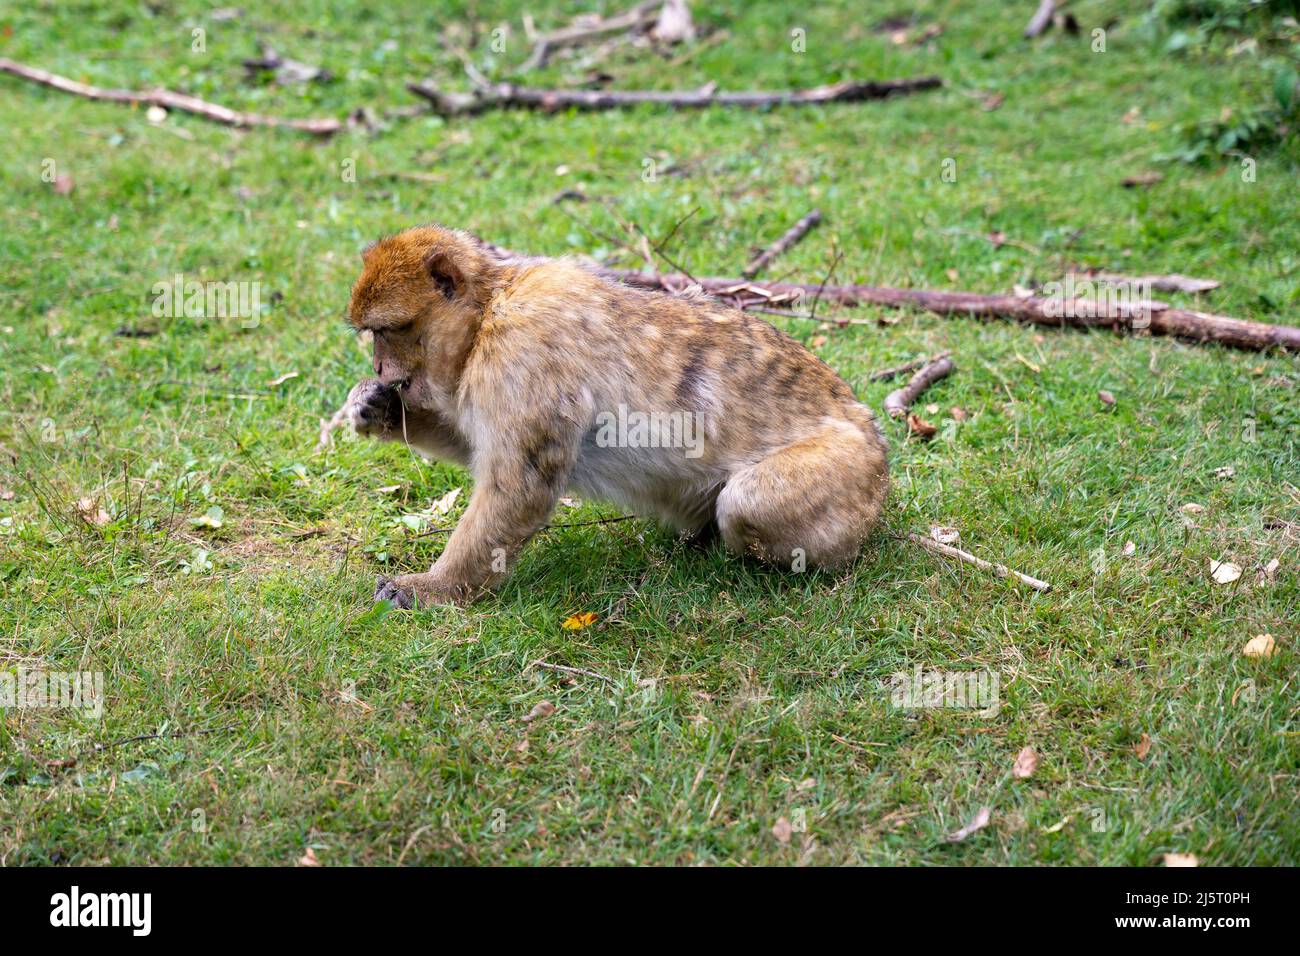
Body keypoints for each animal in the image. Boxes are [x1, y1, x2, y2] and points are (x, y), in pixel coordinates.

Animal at [340, 223, 889, 606]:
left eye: (388, 331)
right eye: (373, 336)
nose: (380, 366)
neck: (489, 311)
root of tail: (870, 429)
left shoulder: (523, 353)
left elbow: (518, 485)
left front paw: (433, 588)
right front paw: (378, 407)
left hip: (851, 476)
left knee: (750, 502)